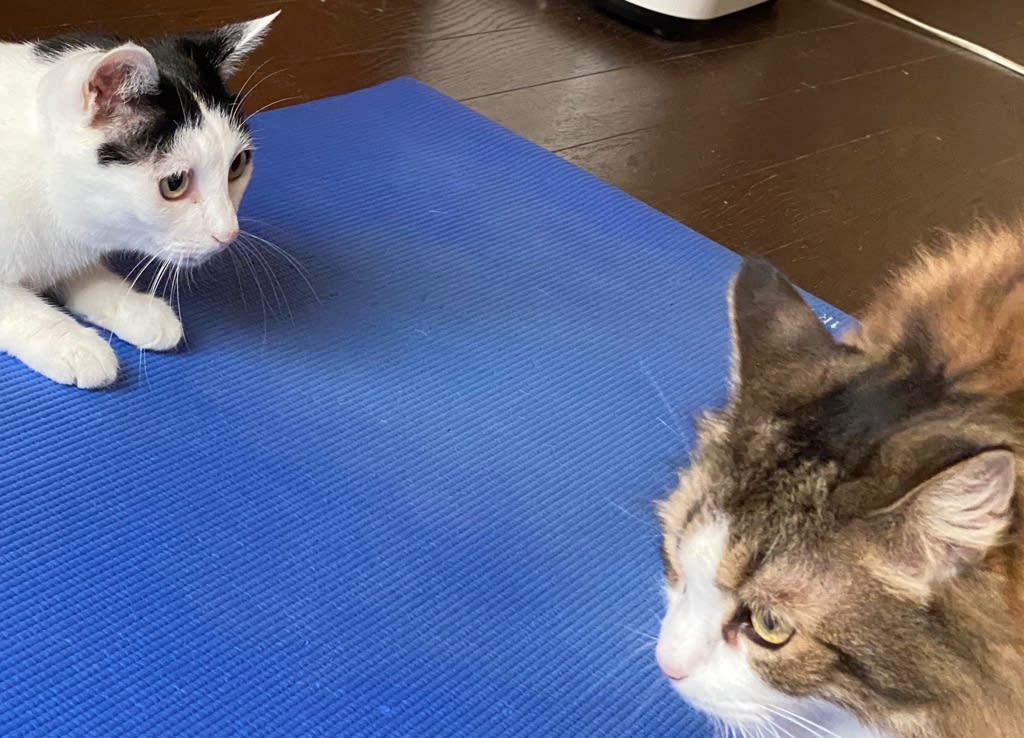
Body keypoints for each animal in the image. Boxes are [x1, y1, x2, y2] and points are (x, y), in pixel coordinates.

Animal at [0, 12, 279, 388]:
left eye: (237, 165)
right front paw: (72, 344)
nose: (228, 234)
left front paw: (132, 306)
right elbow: (14, 305)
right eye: (174, 184)